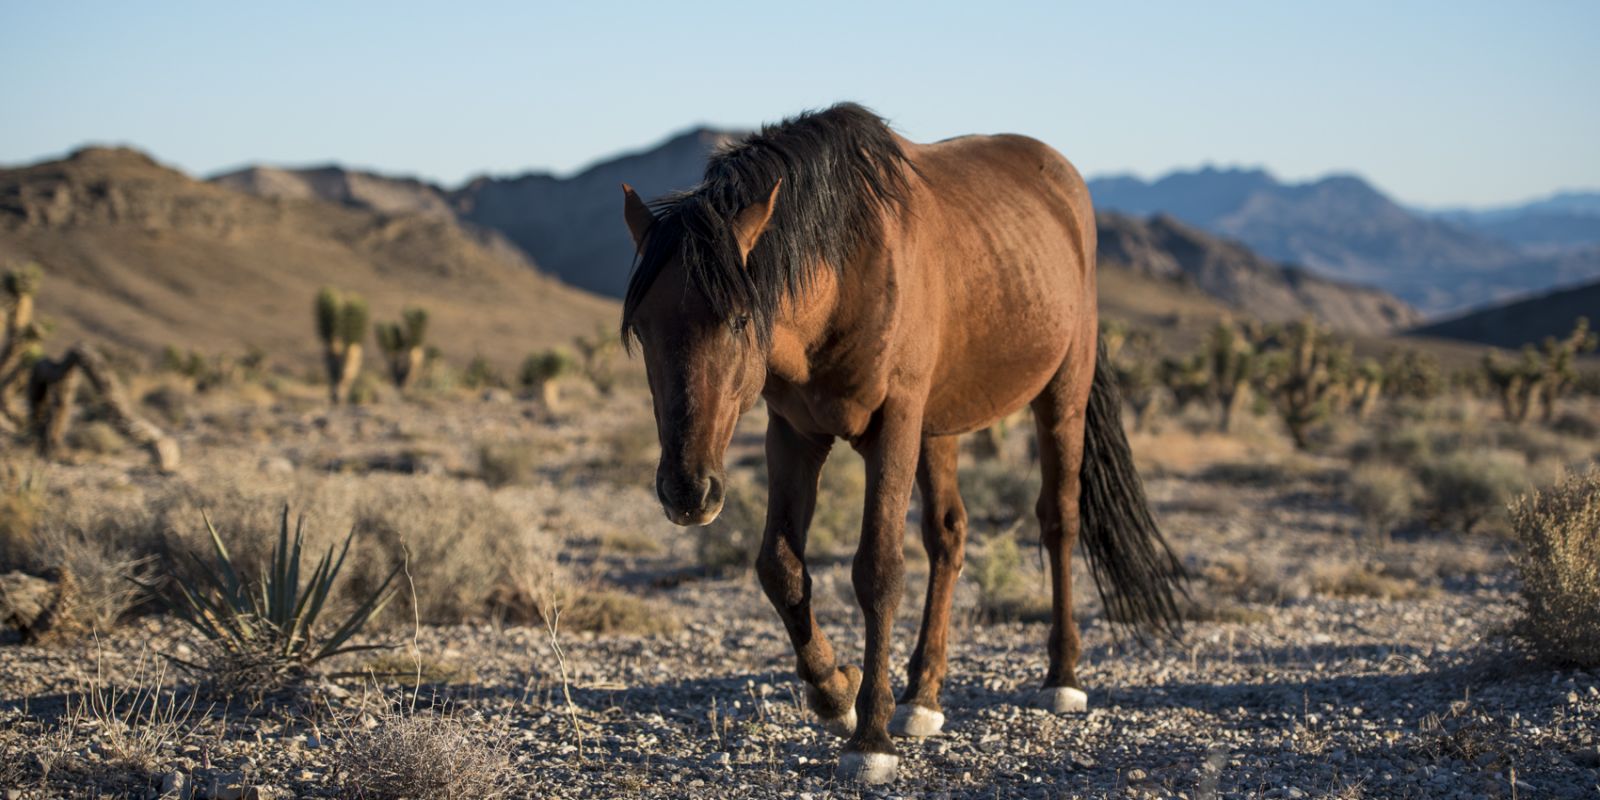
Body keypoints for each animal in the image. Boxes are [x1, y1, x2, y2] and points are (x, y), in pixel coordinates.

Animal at [617, 103, 1184, 784]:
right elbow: (780, 568)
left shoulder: (893, 425)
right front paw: (835, 690)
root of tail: (1064, 183)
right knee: (949, 537)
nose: (687, 491)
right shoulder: (795, 434)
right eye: (642, 328)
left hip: (1060, 396)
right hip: (940, 427)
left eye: (737, 320)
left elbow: (879, 570)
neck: (845, 272)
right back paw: (924, 695)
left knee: (1059, 521)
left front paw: (871, 738)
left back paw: (1062, 677)